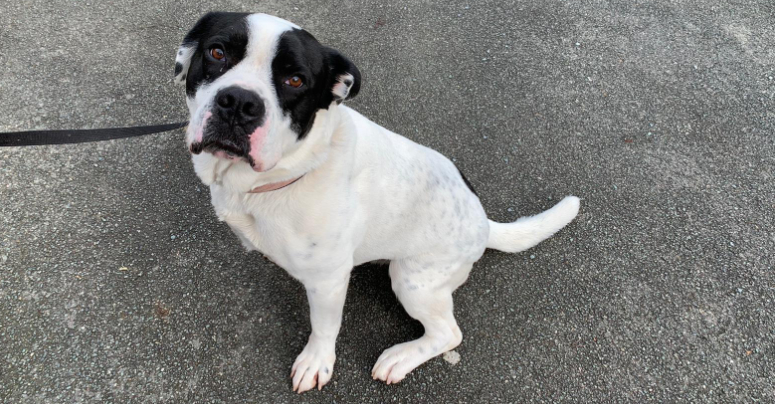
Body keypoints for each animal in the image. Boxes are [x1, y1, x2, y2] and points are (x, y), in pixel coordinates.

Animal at [173, 11, 580, 392]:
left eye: (295, 80)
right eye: (217, 52)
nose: (239, 102)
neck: (283, 174)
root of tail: (483, 220)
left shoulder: (329, 281)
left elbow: (324, 326)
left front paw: (316, 362)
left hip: (413, 281)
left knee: (449, 333)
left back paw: (400, 357)